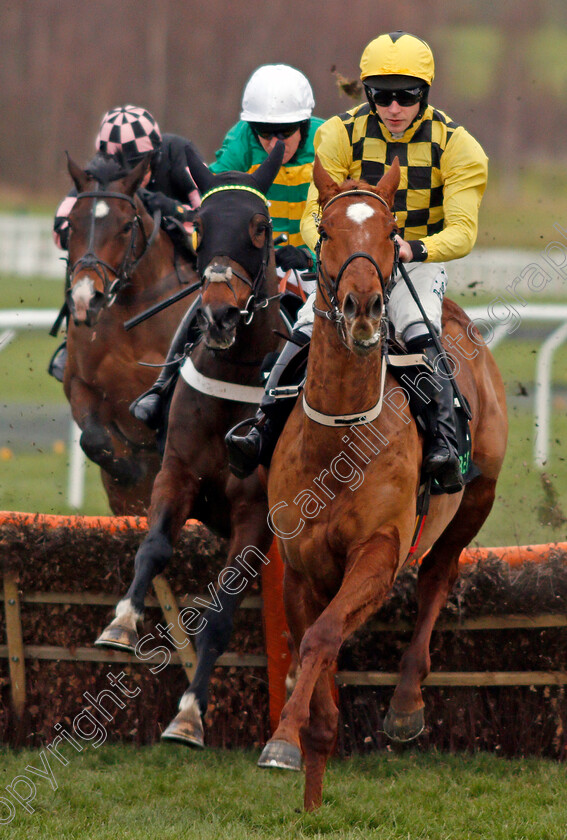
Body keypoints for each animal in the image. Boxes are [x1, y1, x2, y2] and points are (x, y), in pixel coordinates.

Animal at [62, 154, 197, 516]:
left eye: (125, 226)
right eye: (71, 224)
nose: (86, 298)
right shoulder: (81, 384)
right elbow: (94, 439)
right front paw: (127, 468)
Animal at [95, 141, 290, 744]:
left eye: (260, 226)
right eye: (199, 224)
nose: (220, 314)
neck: (238, 374)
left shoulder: (256, 511)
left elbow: (222, 614)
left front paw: (188, 714)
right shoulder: (176, 472)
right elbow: (154, 547)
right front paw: (121, 623)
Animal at [262, 156, 510, 808]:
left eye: (388, 231)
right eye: (326, 231)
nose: (365, 309)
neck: (340, 442)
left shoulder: (378, 552)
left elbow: (323, 635)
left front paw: (283, 739)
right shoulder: (300, 564)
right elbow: (314, 640)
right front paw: (308, 770)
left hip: (474, 500)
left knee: (438, 577)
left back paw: (404, 704)